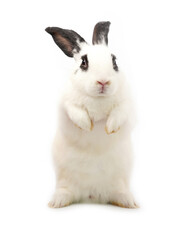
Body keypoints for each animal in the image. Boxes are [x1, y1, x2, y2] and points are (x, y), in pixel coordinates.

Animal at [45, 21, 138, 208]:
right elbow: (75, 111)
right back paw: (57, 201)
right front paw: (87, 126)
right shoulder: (66, 104)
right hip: (65, 180)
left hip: (119, 181)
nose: (103, 81)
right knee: (65, 191)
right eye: (83, 62)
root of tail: (93, 195)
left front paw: (110, 127)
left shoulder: (127, 103)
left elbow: (120, 112)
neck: (98, 99)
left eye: (114, 61)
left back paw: (128, 201)